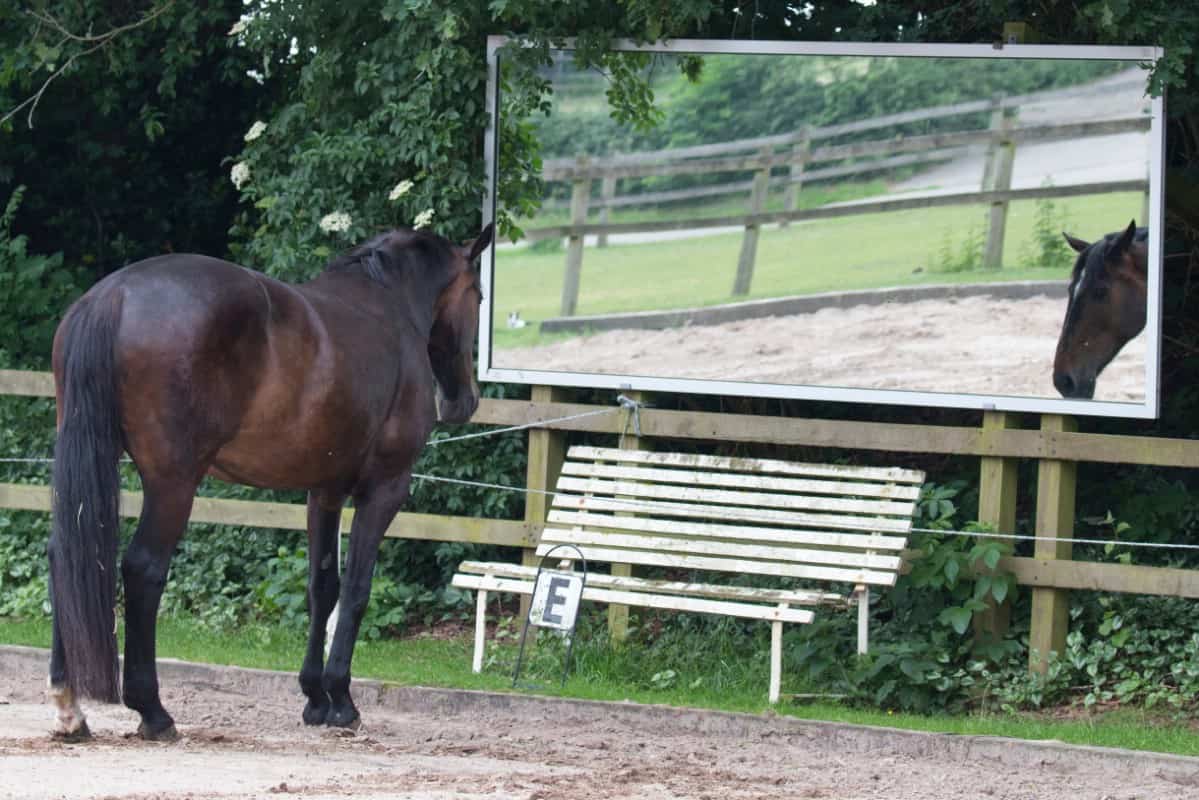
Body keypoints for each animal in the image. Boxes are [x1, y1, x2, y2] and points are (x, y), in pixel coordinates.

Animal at [47, 221, 491, 743]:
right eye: (479, 295)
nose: (464, 400)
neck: (390, 304)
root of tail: (114, 294)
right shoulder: (384, 489)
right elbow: (357, 589)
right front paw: (341, 700)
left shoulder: (324, 491)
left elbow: (324, 587)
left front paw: (315, 698)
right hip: (173, 483)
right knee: (143, 569)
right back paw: (152, 711)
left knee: (68, 556)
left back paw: (69, 708)